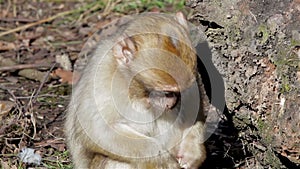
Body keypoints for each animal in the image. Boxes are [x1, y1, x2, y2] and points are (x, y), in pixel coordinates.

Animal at [65, 12, 206, 169]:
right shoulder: (102, 81)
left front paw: (192, 151)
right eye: (167, 92)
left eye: (181, 92)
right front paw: (164, 161)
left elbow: (195, 111)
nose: (172, 103)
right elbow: (97, 131)